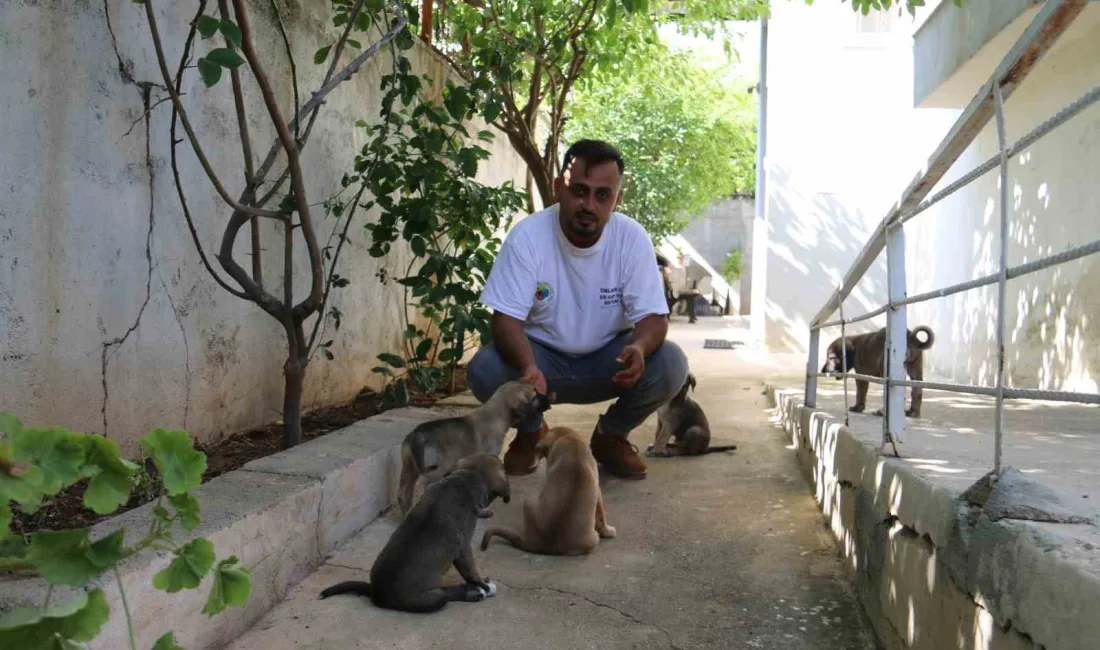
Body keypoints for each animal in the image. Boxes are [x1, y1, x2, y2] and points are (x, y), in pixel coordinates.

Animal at [316, 455, 508, 611]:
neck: (464, 478)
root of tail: (375, 593)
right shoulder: (463, 549)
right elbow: (472, 571)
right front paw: (483, 585)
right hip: (434, 599)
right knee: (447, 594)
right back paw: (474, 593)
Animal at [396, 384, 550, 516]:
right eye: (535, 393)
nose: (549, 398)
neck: (496, 414)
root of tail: (415, 435)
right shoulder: (489, 458)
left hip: (409, 469)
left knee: (404, 495)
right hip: (435, 471)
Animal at [481, 426, 620, 554]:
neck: (568, 437)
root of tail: (542, 545)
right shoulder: (598, 491)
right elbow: (601, 514)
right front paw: (608, 530)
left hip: (529, 502)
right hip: (530, 500)